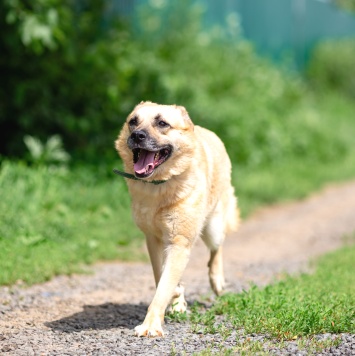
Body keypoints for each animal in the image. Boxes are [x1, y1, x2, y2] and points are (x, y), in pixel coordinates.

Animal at [117, 101, 239, 336]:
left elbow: (163, 287)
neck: (160, 186)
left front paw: (150, 325)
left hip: (212, 228)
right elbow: (161, 277)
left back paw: (217, 280)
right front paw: (176, 298)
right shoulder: (154, 240)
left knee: (216, 249)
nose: (137, 135)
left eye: (162, 123)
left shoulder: (179, 242)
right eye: (133, 122)